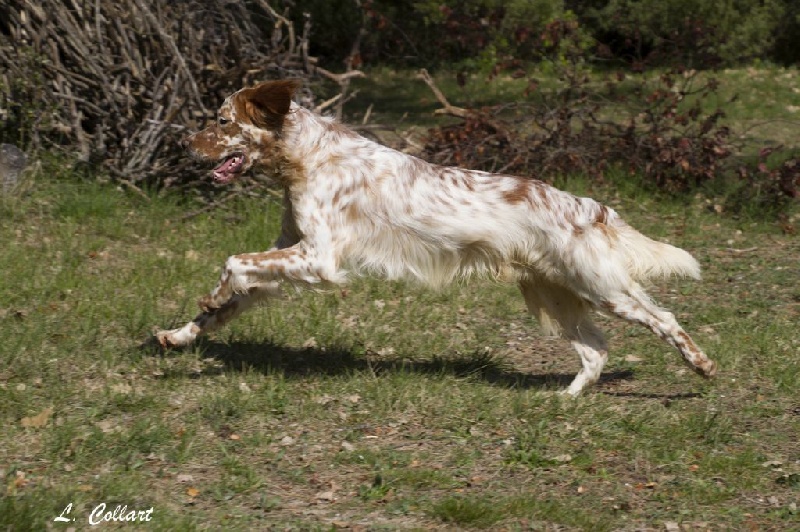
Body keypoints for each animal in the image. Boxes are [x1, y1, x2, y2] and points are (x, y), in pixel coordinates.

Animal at [153, 79, 716, 394]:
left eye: (221, 121)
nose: (182, 143)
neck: (308, 156)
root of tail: (589, 205)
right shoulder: (288, 251)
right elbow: (230, 297)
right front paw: (179, 334)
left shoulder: (318, 258)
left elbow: (232, 263)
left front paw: (213, 294)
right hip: (553, 293)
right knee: (596, 349)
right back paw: (565, 398)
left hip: (599, 287)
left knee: (663, 319)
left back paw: (701, 364)